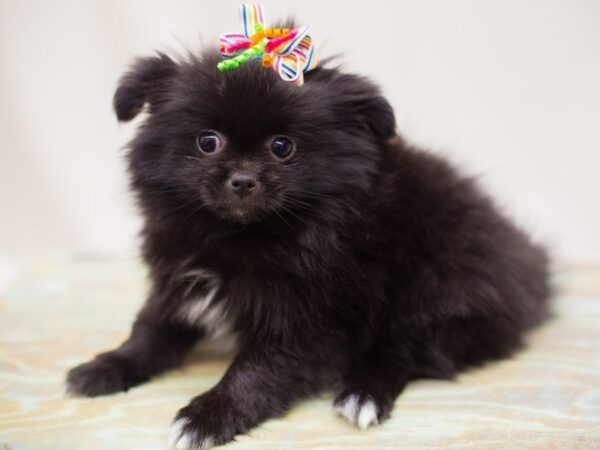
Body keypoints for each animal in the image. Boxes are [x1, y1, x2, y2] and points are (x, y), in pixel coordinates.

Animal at [65, 51, 548, 448]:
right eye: (207, 141)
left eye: (283, 147)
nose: (243, 180)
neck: (241, 236)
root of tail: (533, 265)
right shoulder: (178, 280)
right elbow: (149, 331)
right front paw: (107, 367)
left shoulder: (309, 317)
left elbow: (257, 370)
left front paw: (207, 416)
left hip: (436, 288)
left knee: (405, 351)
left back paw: (362, 394)